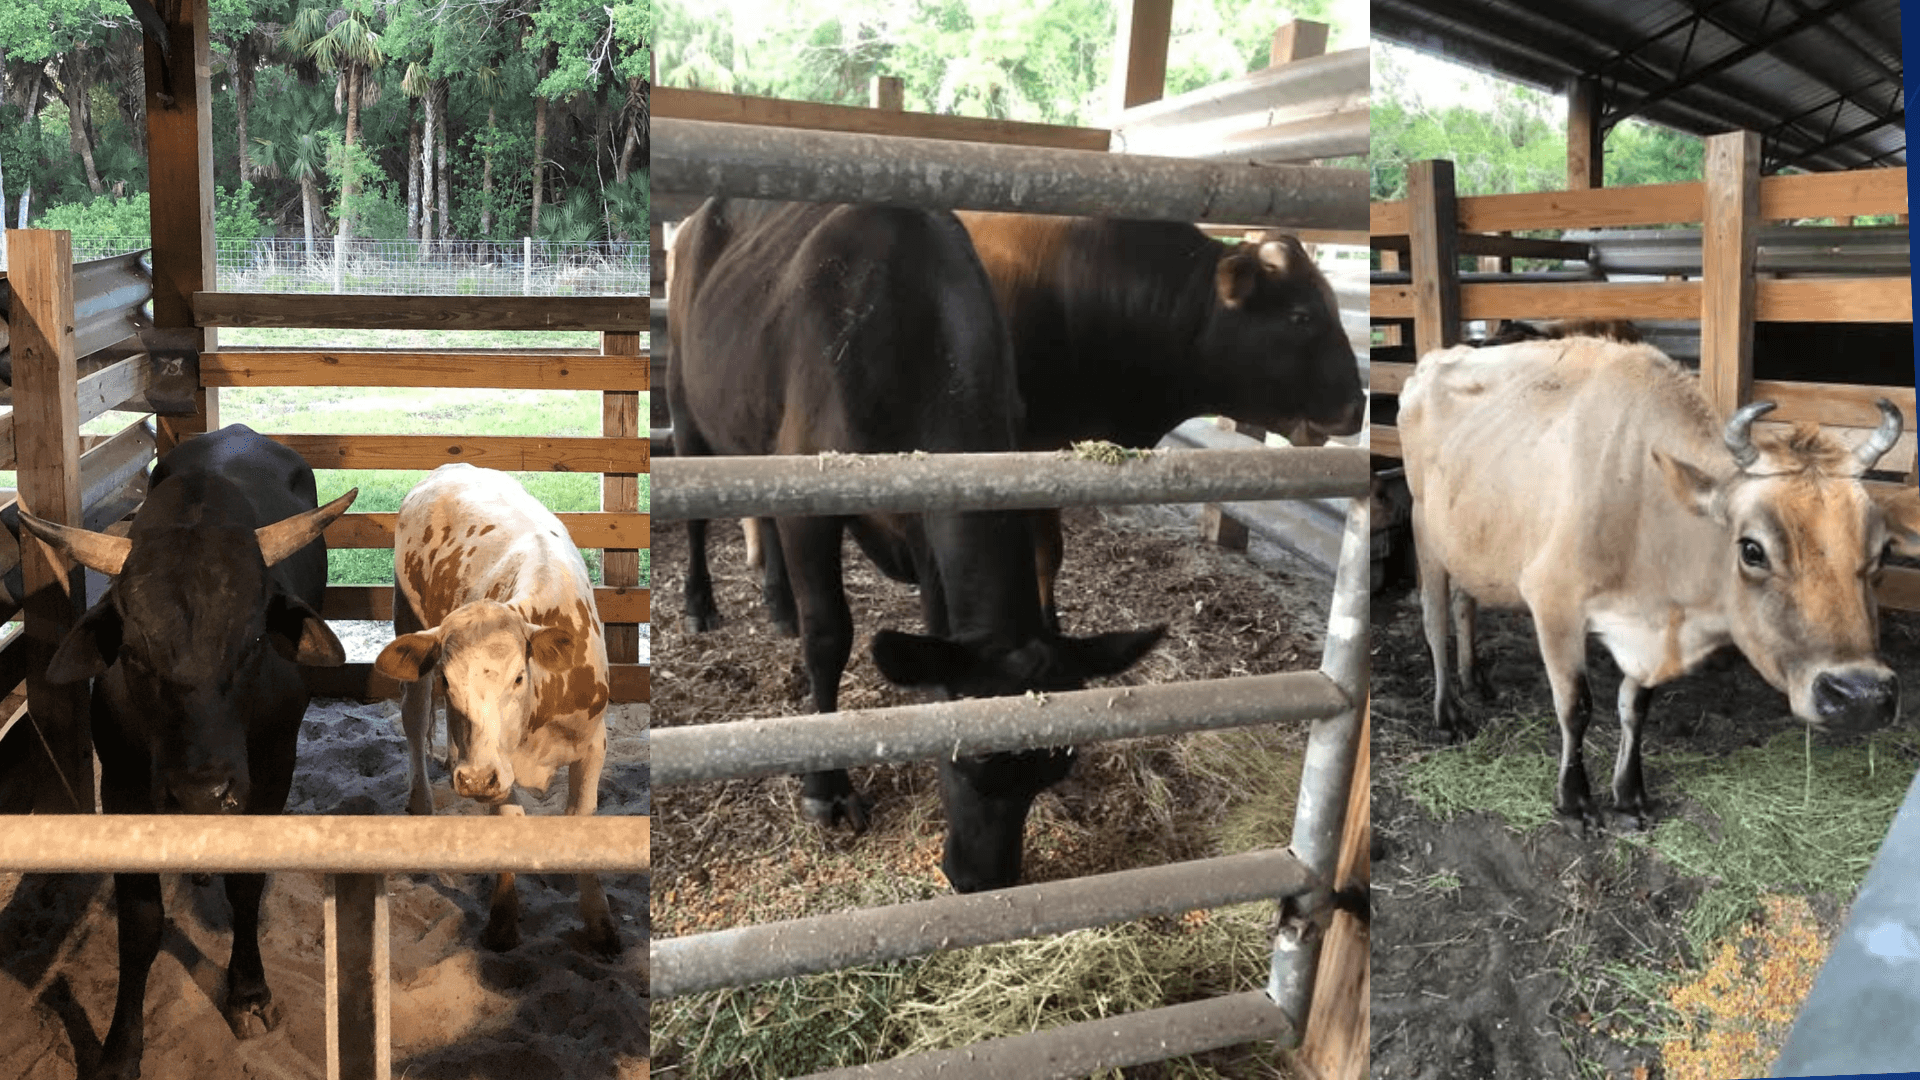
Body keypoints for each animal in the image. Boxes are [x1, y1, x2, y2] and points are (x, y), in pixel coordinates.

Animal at [16, 424, 354, 1079]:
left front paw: (248, 992)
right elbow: (141, 919)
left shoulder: (272, 770)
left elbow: (246, 885)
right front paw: (121, 1048)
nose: (201, 792)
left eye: (254, 641)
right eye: (134, 652)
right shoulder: (123, 785)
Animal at [371, 463, 621, 956]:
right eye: (450, 681)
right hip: (407, 617)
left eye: (519, 677)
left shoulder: (593, 743)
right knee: (414, 719)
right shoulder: (495, 766)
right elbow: (507, 821)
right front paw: (503, 921)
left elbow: (581, 819)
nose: (472, 779)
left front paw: (600, 923)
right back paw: (423, 801)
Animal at [669, 197, 1164, 893]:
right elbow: (830, 636)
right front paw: (827, 785)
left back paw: (779, 604)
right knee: (696, 519)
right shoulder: (811, 494)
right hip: (686, 407)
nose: (982, 881)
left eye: (1052, 771)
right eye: (963, 761)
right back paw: (701, 605)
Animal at [1400, 337, 1920, 831]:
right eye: (1752, 549)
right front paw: (1575, 802)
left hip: (1467, 542)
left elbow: (1635, 708)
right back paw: (1449, 714)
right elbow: (1575, 707)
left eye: (1883, 552)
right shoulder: (1553, 602)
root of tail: (1435, 359)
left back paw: (1475, 681)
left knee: (1465, 603)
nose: (1861, 696)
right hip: (1424, 529)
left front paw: (1629, 796)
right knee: (1433, 621)